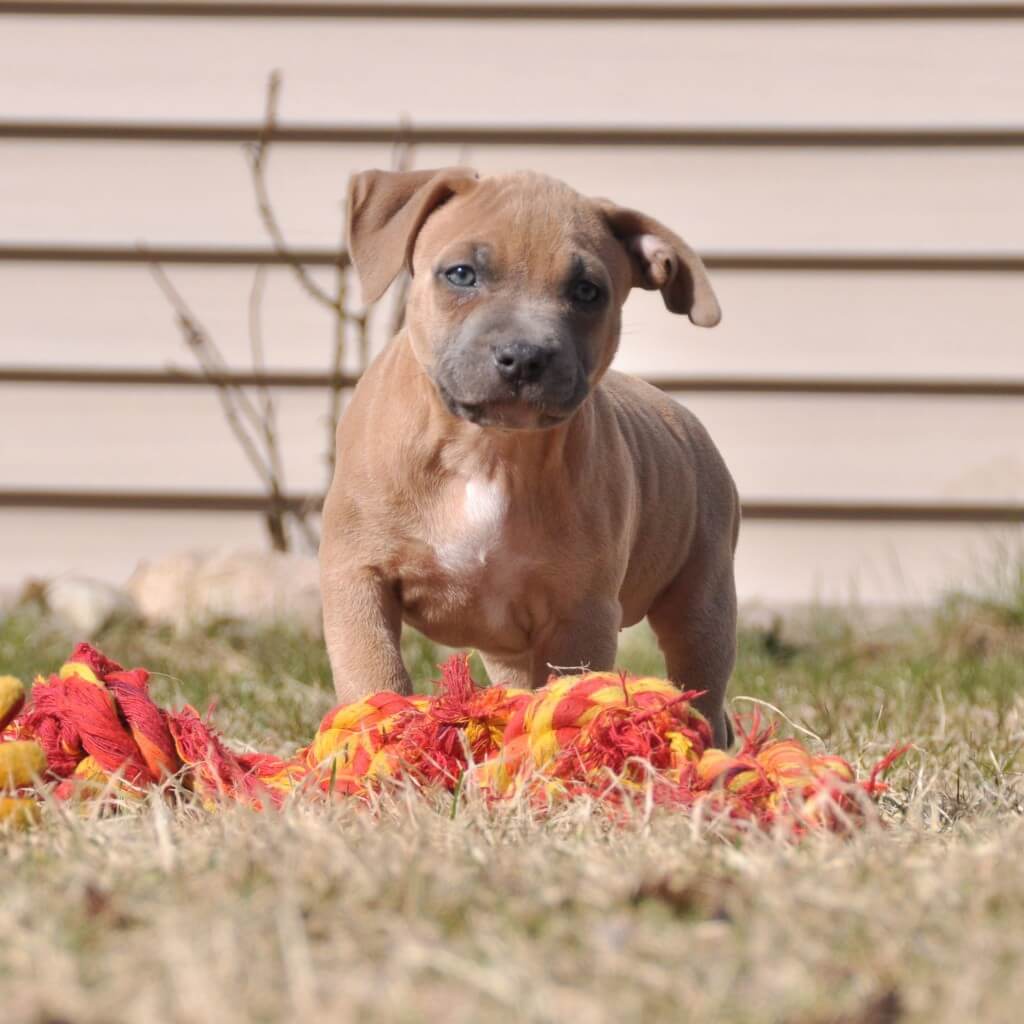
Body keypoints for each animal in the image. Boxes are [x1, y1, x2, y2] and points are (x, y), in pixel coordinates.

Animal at [320, 168, 740, 748]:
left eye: (587, 292)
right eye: (461, 274)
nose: (524, 357)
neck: (489, 449)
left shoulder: (579, 613)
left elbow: (566, 696)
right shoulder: (358, 577)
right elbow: (375, 674)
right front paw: (380, 739)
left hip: (703, 599)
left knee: (703, 686)